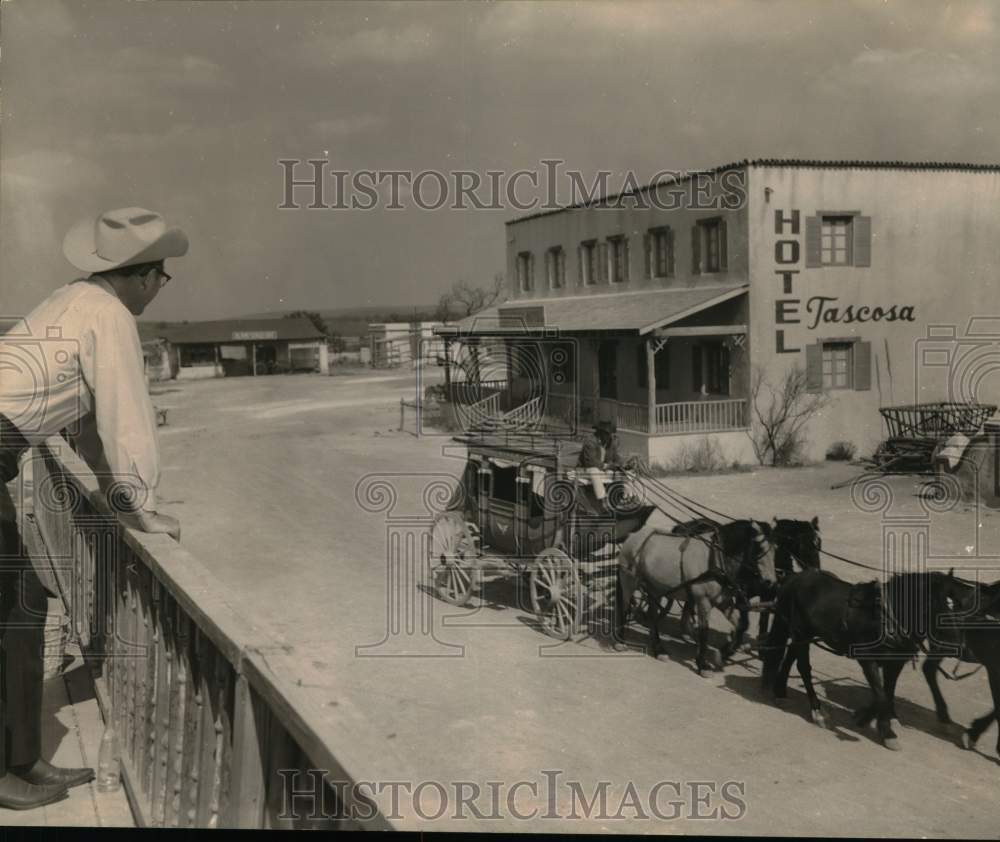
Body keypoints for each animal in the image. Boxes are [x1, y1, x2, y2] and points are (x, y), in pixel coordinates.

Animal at [612, 520, 776, 672]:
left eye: (775, 550)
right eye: (759, 548)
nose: (771, 581)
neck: (715, 558)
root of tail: (633, 536)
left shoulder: (723, 600)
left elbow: (741, 625)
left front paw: (723, 654)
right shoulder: (703, 600)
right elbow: (704, 631)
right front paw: (703, 665)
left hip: (653, 588)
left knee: (652, 615)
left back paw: (659, 649)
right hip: (630, 580)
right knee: (624, 608)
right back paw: (620, 641)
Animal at [760, 568, 972, 744]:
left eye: (956, 605)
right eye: (936, 604)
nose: (959, 644)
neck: (888, 617)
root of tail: (793, 578)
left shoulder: (895, 662)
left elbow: (886, 693)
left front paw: (868, 718)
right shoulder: (867, 658)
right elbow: (881, 695)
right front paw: (885, 730)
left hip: (801, 634)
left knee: (790, 657)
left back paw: (780, 691)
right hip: (800, 631)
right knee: (803, 666)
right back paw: (817, 710)